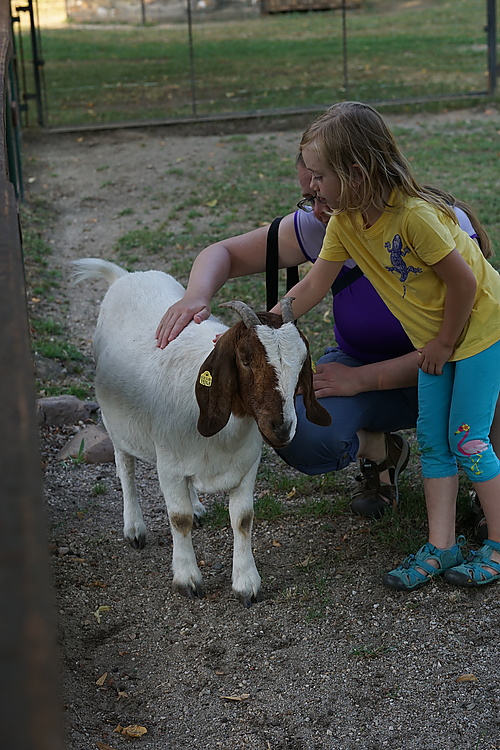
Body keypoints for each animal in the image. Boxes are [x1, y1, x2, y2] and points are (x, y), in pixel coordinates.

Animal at [70, 258, 328, 604]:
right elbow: (179, 520)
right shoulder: (168, 467)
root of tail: (126, 276)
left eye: (303, 361)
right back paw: (134, 528)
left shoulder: (246, 465)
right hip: (117, 425)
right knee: (125, 467)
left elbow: (243, 519)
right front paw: (187, 579)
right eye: (245, 359)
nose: (281, 427)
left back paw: (195, 504)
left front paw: (246, 583)